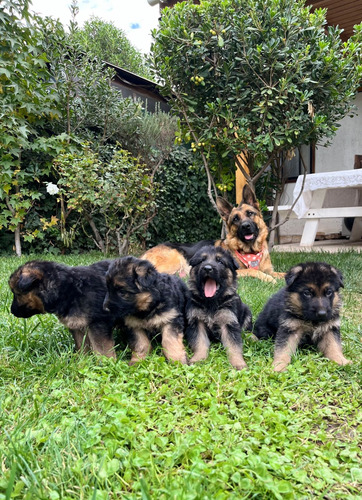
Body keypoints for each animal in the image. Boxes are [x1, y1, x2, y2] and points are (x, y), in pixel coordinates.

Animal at [141, 186, 282, 284]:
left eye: (250, 213)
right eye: (235, 219)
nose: (246, 226)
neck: (251, 252)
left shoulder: (271, 270)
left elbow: (281, 273)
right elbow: (253, 270)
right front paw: (269, 279)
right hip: (175, 259)